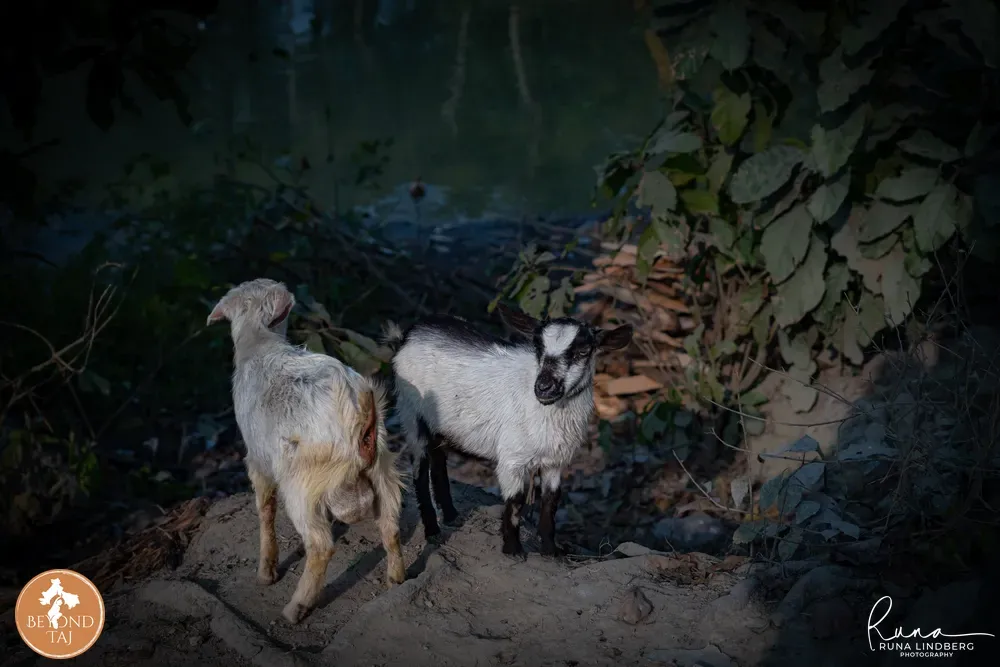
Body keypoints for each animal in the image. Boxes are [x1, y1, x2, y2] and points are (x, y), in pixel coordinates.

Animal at [208, 278, 406, 624]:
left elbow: (265, 511)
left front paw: (266, 573)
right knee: (390, 526)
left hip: (302, 483)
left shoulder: (257, 460)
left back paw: (296, 607)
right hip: (383, 469)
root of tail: (357, 418)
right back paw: (396, 578)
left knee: (320, 546)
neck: (259, 343)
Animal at [382, 303, 632, 557]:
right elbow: (516, 501)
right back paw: (432, 530)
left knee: (438, 460)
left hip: (438, 425)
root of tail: (407, 335)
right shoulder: (512, 459)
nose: (544, 388)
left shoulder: (555, 461)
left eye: (583, 352)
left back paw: (451, 515)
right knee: (420, 471)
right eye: (538, 346)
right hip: (412, 414)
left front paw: (550, 549)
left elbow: (551, 500)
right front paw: (513, 549)